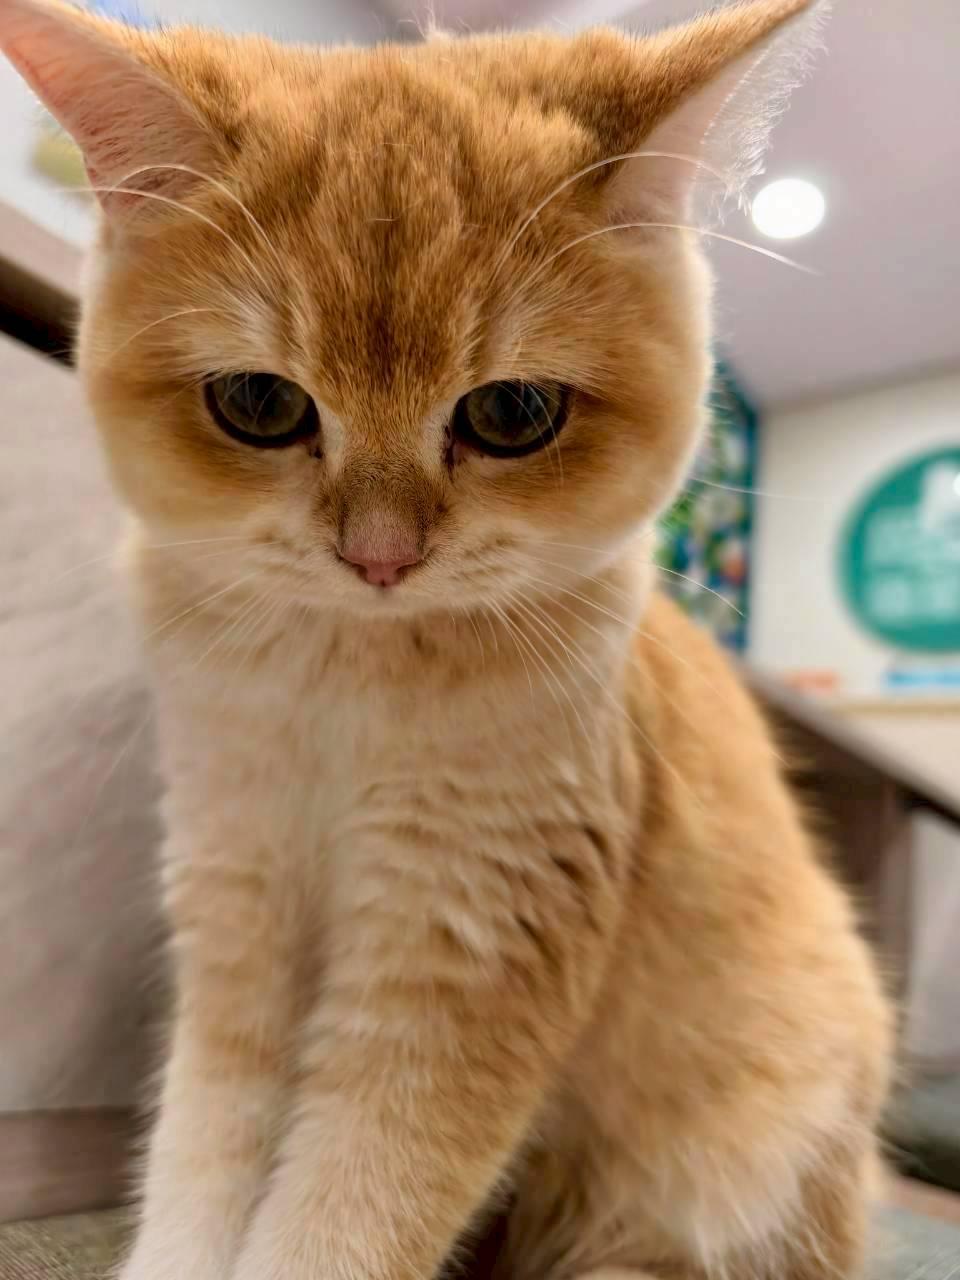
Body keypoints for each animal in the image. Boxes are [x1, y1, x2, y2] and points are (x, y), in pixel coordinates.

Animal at [1, 1, 892, 1278]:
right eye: (260, 405)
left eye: (512, 413)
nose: (380, 557)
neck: (343, 680)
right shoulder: (234, 900)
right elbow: (203, 1161)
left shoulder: (469, 948)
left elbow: (349, 1209)